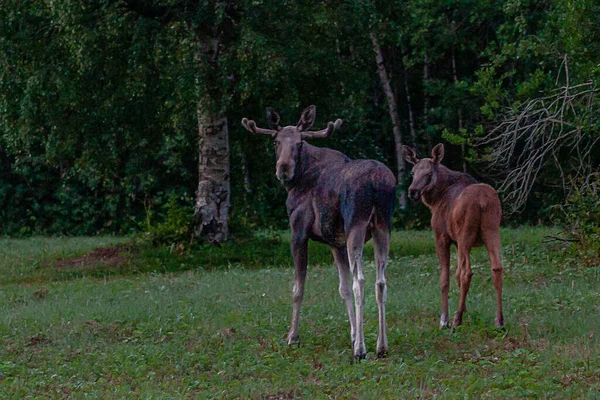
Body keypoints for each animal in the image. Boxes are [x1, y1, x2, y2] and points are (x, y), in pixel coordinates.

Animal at [241, 106, 396, 360]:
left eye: (299, 143)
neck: (296, 182)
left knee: (361, 281)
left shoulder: (298, 232)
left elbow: (298, 288)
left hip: (356, 225)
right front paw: (353, 334)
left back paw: (361, 350)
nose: (283, 169)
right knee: (380, 281)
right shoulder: (335, 242)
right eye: (276, 141)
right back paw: (381, 346)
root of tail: (376, 183)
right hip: (383, 226)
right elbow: (343, 289)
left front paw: (293, 337)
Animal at [404, 145, 506, 332]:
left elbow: (445, 279)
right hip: (492, 231)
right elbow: (457, 275)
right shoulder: (457, 242)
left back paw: (456, 320)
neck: (436, 200)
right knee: (496, 268)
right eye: (413, 172)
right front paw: (465, 310)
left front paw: (444, 319)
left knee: (468, 273)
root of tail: (482, 201)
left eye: (429, 173)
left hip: (466, 234)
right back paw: (499, 320)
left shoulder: (442, 237)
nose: (412, 191)